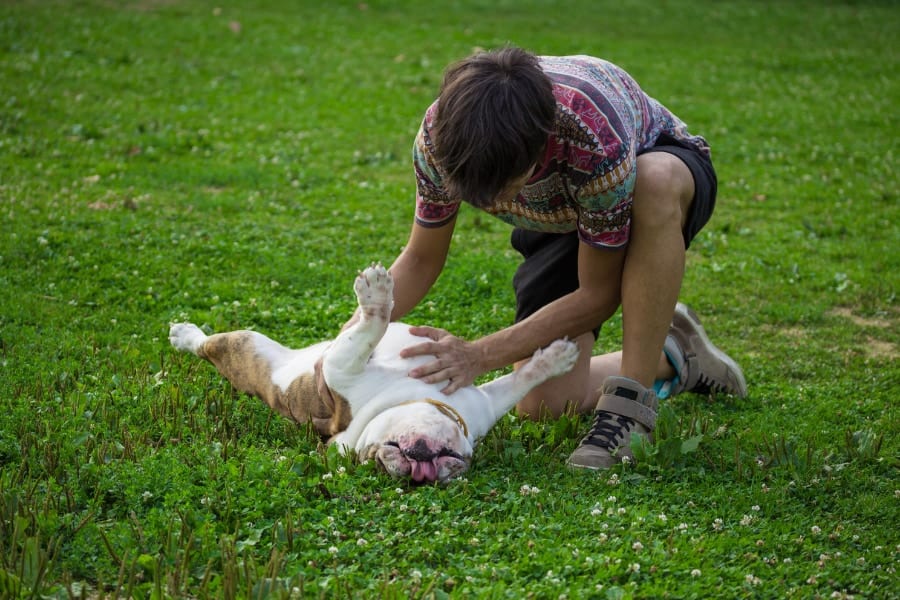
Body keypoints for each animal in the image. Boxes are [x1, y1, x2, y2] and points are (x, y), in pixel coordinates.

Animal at [169, 262, 576, 482]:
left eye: (455, 463)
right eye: (377, 458)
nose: (421, 472)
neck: (411, 396)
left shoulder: (487, 403)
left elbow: (520, 380)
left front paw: (555, 358)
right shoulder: (342, 367)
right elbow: (371, 328)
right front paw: (378, 295)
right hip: (251, 348)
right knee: (208, 345)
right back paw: (184, 335)